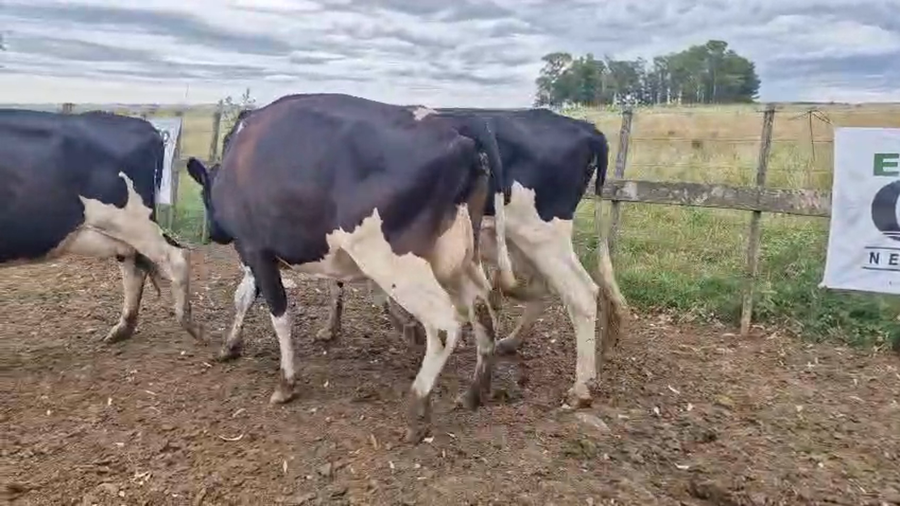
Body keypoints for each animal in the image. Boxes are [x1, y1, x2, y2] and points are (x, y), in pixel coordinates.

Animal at [0, 108, 202, 344]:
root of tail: (143, 126)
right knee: (134, 266)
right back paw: (122, 329)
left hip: (134, 222)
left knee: (176, 256)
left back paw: (190, 324)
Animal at [184, 92, 517, 442]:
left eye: (202, 193)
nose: (214, 234)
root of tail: (462, 134)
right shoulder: (256, 254)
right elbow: (243, 297)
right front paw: (229, 346)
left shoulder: (255, 249)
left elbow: (279, 314)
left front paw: (286, 382)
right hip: (459, 258)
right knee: (483, 307)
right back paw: (475, 392)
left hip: (395, 262)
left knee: (443, 326)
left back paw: (418, 408)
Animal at [317, 107, 629, 408]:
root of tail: (584, 127)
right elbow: (342, 285)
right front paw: (332, 328)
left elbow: (368, 290)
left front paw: (407, 329)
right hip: (522, 243)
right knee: (544, 287)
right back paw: (511, 342)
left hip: (542, 236)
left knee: (581, 293)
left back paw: (580, 388)